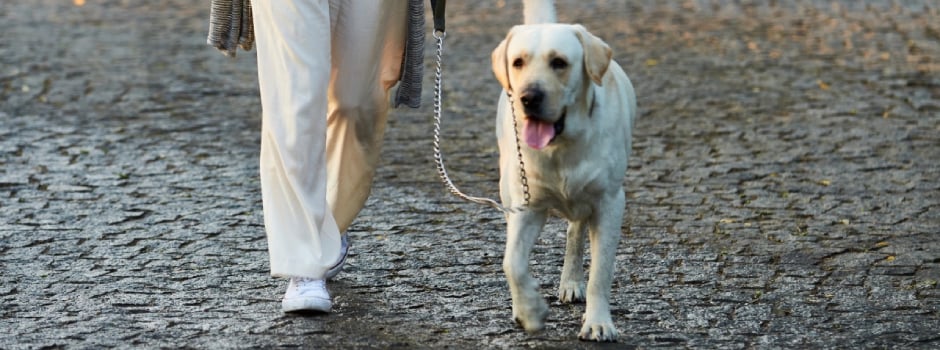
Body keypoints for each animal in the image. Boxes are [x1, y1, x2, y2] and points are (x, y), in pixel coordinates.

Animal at [492, 3, 640, 342]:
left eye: (559, 62)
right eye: (517, 62)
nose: (529, 97)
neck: (560, 147)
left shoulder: (609, 204)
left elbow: (601, 272)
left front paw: (598, 322)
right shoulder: (526, 208)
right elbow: (512, 262)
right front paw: (529, 310)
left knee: (575, 233)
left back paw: (572, 282)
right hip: (507, 193)